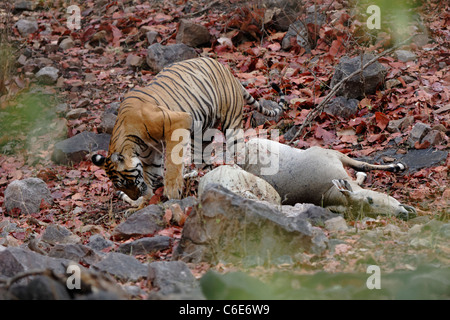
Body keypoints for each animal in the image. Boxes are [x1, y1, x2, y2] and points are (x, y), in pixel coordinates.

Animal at [91, 57, 284, 212]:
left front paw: (171, 190)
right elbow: (149, 176)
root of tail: (227, 70)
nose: (133, 197)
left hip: (230, 121)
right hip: (201, 135)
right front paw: (143, 204)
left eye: (124, 183)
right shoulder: (150, 156)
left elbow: (172, 163)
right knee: (204, 163)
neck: (132, 142)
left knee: (238, 149)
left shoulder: (178, 121)